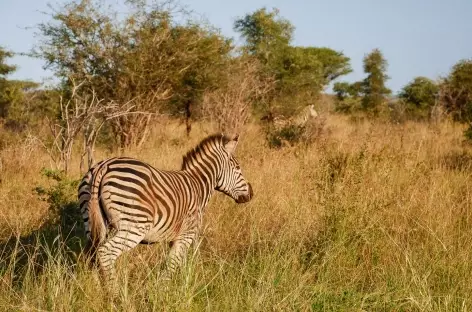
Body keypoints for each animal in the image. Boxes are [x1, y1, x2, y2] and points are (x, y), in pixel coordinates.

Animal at [78, 133, 254, 294]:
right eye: (238, 168)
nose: (251, 193)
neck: (198, 185)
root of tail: (103, 166)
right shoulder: (187, 234)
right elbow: (172, 264)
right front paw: (163, 292)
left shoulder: (176, 236)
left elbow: (179, 263)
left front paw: (180, 286)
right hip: (134, 226)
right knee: (105, 253)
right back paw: (115, 295)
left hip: (92, 223)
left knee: (90, 256)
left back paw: (93, 291)